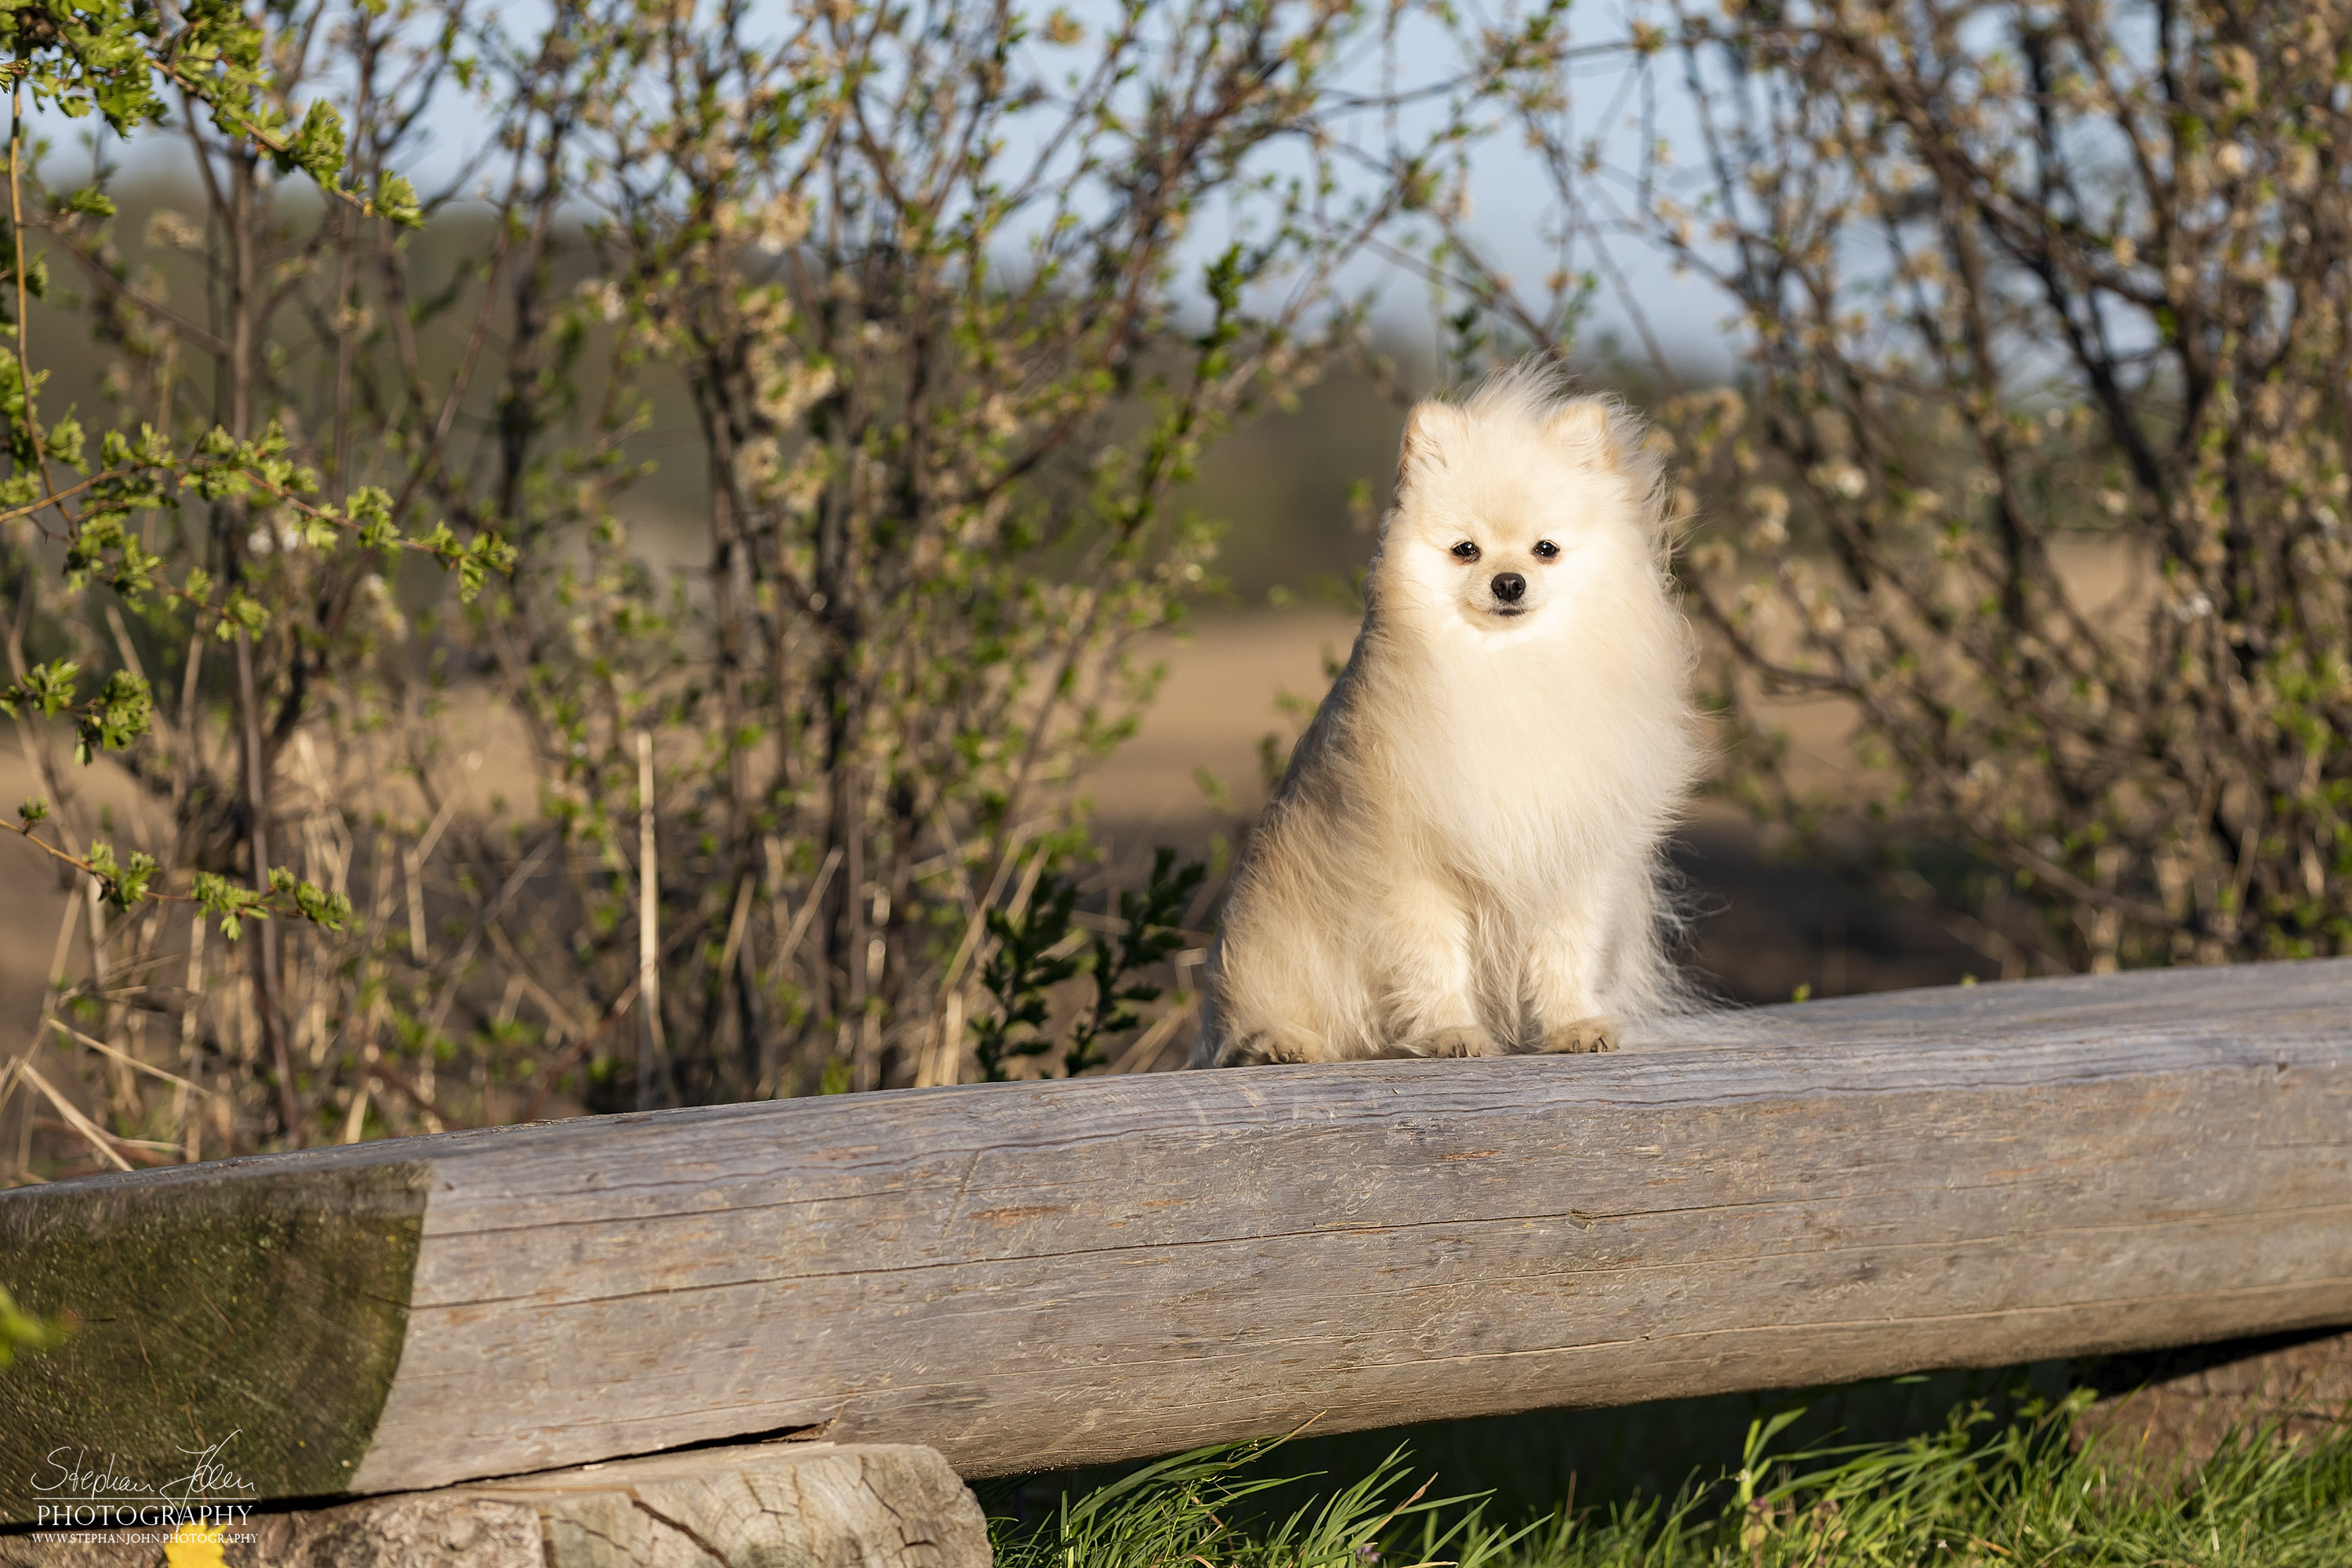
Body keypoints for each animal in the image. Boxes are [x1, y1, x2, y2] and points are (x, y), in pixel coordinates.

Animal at [1204, 364, 1703, 1067]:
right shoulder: (1416, 867)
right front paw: (1451, 1034)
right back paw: (1283, 1043)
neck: (1507, 667)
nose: (1508, 582)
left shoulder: (1570, 857)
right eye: (1466, 550)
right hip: (1268, 947)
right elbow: (1433, 961)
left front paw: (1573, 1025)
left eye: (1545, 549)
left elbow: (1565, 954)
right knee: (1257, 1014)